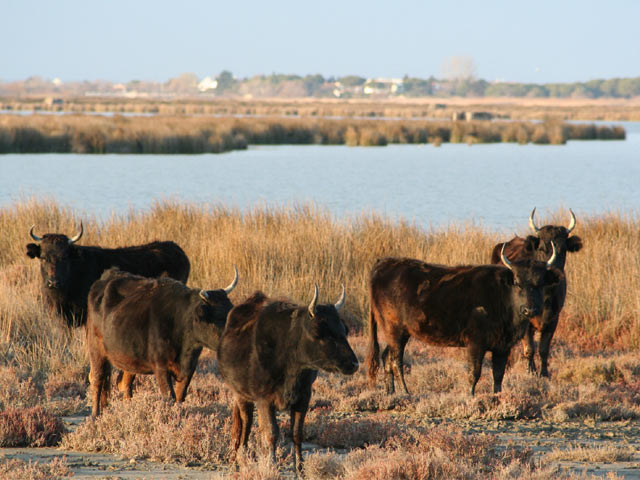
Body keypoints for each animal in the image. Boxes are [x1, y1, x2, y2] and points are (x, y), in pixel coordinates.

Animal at [86, 266, 239, 416]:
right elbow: (169, 397)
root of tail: (109, 274)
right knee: (97, 379)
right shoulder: (161, 368)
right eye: (219, 317)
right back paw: (95, 415)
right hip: (96, 349)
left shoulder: (189, 369)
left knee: (125, 383)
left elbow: (179, 397)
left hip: (129, 357)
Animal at [219, 284, 360, 472]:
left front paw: (300, 468)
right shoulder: (264, 399)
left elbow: (297, 433)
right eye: (318, 331)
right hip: (241, 395)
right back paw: (240, 460)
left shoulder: (303, 397)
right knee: (245, 423)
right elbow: (271, 432)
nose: (353, 364)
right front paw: (272, 465)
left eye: (345, 329)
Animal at [368, 246, 564, 396]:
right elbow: (474, 372)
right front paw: (470, 396)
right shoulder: (475, 343)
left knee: (386, 358)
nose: (530, 309)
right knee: (396, 361)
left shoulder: (502, 347)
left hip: (401, 333)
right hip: (394, 330)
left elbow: (498, 374)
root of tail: (384, 263)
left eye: (540, 283)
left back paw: (391, 393)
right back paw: (405, 392)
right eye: (517, 282)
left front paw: (497, 396)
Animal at [490, 208, 584, 376]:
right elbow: (529, 348)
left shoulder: (553, 320)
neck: (544, 295)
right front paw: (530, 371)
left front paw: (544, 372)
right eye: (542, 249)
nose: (554, 271)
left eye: (563, 249)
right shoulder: (526, 320)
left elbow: (544, 349)